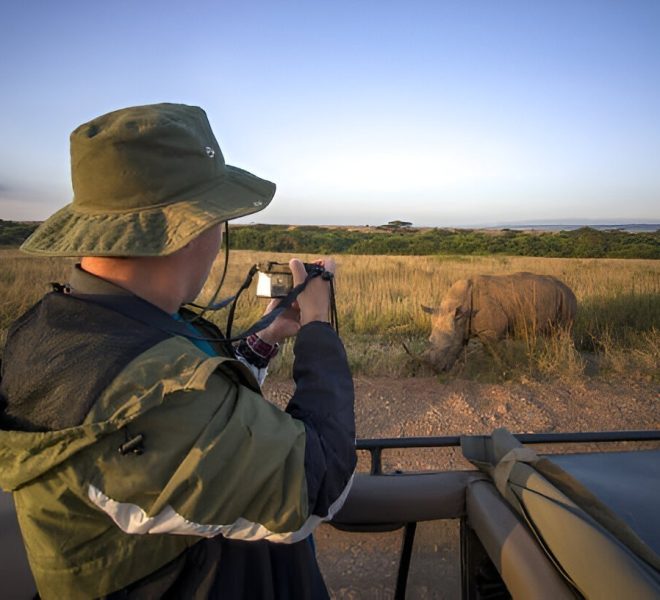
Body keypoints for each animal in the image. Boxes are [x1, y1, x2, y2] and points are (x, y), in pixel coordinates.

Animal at [422, 272, 577, 371]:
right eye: (429, 341)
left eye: (448, 347)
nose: (434, 370)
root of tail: (569, 289)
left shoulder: (490, 331)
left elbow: (492, 350)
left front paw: (502, 368)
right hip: (557, 297)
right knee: (553, 334)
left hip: (567, 299)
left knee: (564, 332)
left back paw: (562, 362)